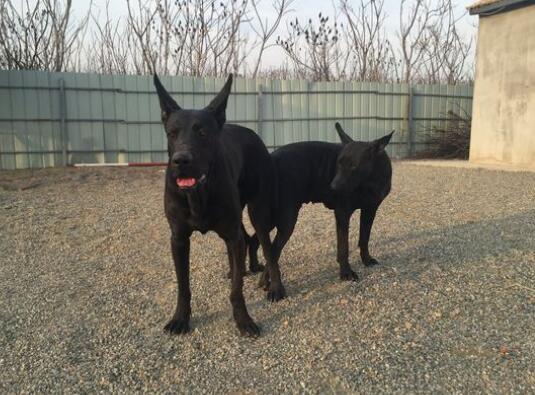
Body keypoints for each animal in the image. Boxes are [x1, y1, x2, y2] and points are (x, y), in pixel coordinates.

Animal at [155, 74, 286, 338]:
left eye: (203, 133)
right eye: (172, 133)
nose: (181, 161)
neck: (197, 193)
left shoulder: (233, 230)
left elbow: (237, 290)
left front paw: (243, 319)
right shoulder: (178, 238)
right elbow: (183, 286)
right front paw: (180, 319)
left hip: (258, 211)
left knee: (266, 247)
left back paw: (274, 286)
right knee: (243, 240)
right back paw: (239, 268)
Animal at [248, 122, 394, 284]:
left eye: (353, 166)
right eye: (338, 163)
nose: (333, 187)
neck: (368, 181)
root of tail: (269, 160)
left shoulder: (370, 210)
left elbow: (364, 238)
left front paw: (366, 260)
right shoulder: (342, 213)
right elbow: (343, 247)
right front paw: (346, 272)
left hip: (271, 219)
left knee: (256, 242)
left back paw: (255, 268)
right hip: (285, 220)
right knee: (273, 251)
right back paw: (266, 282)